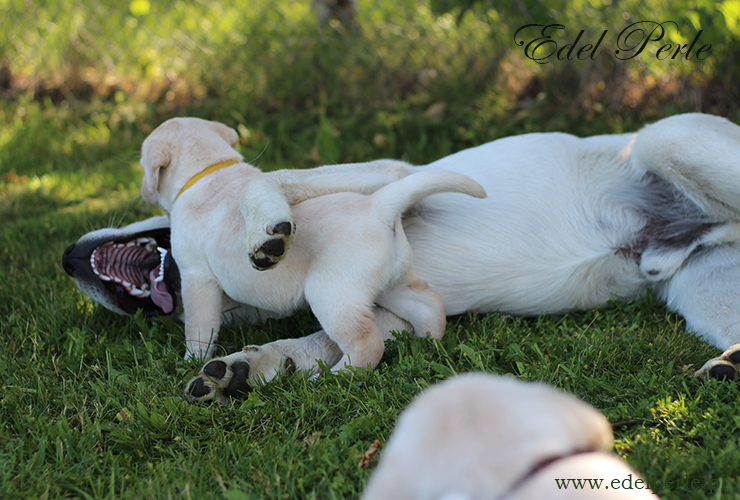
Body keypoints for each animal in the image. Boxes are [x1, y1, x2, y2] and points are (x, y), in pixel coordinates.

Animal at [63, 113, 740, 402]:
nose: (66, 258)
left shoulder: (391, 173)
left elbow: (279, 178)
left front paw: (266, 225)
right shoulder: (377, 306)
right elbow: (318, 341)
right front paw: (243, 370)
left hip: (669, 139)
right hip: (706, 286)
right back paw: (729, 364)